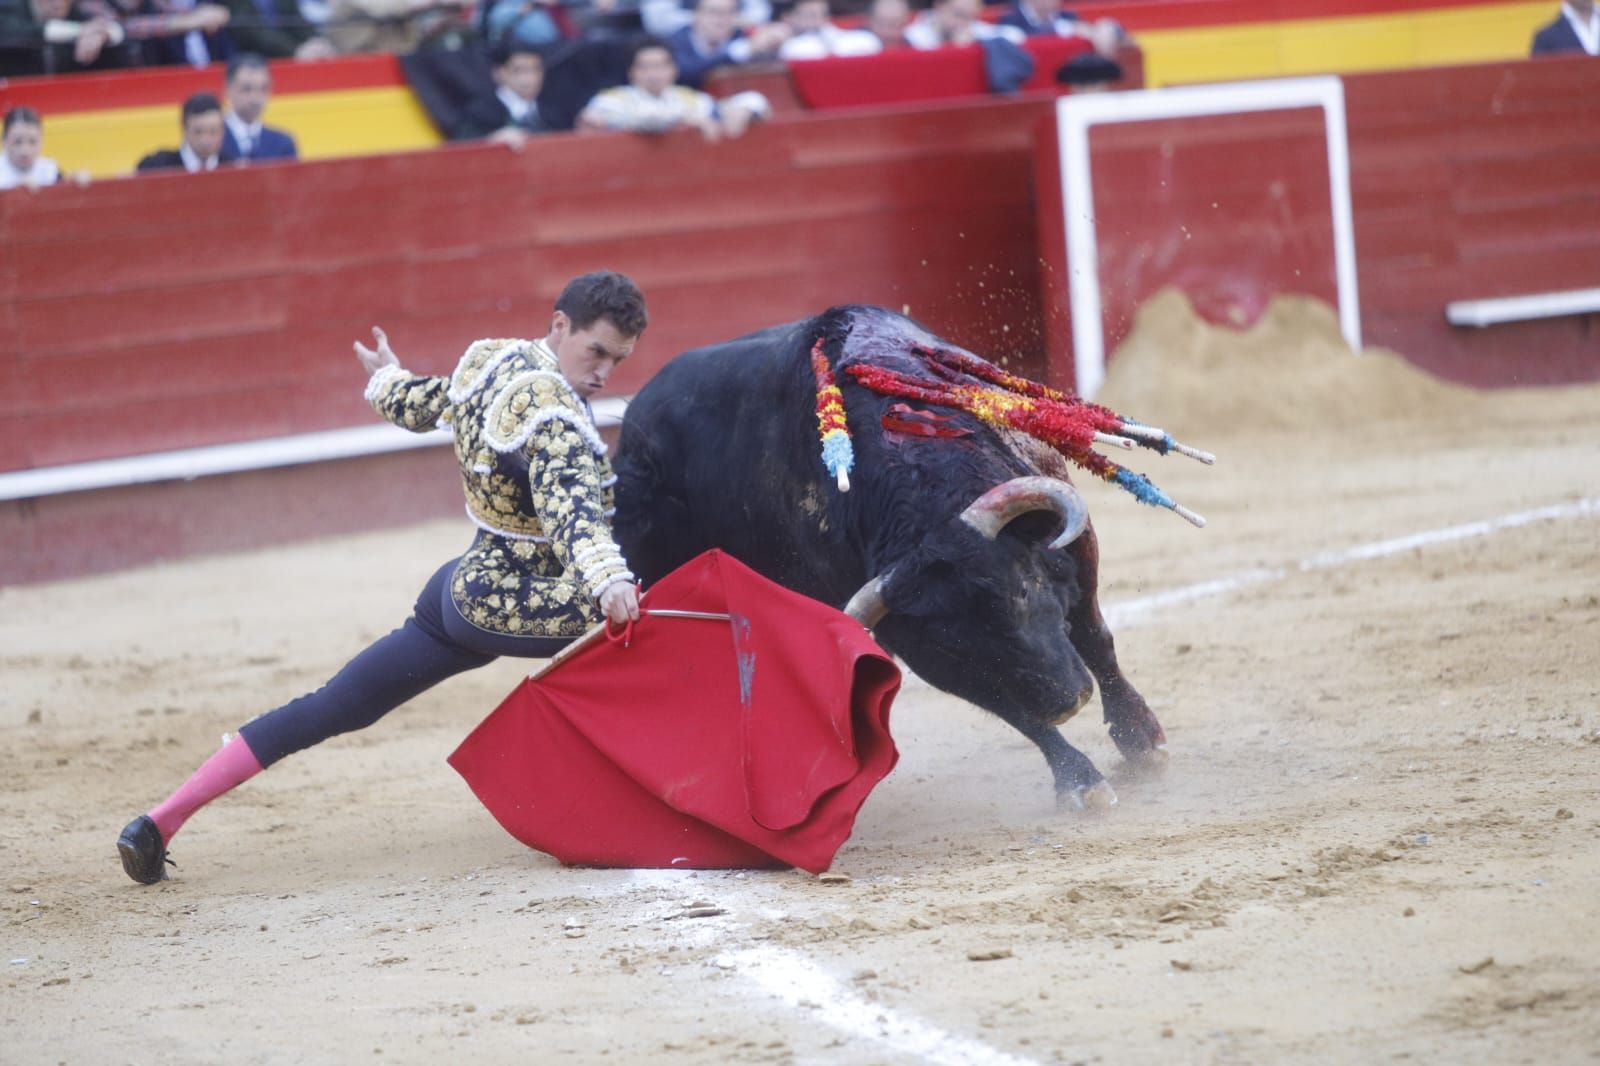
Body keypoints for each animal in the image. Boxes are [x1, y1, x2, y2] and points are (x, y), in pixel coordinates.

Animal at [611, 302, 1164, 800]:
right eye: (956, 642)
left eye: (1023, 592)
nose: (1065, 701)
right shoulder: (917, 644)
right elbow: (1012, 710)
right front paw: (1080, 781)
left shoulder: (1074, 546)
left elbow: (1095, 637)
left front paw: (1140, 736)